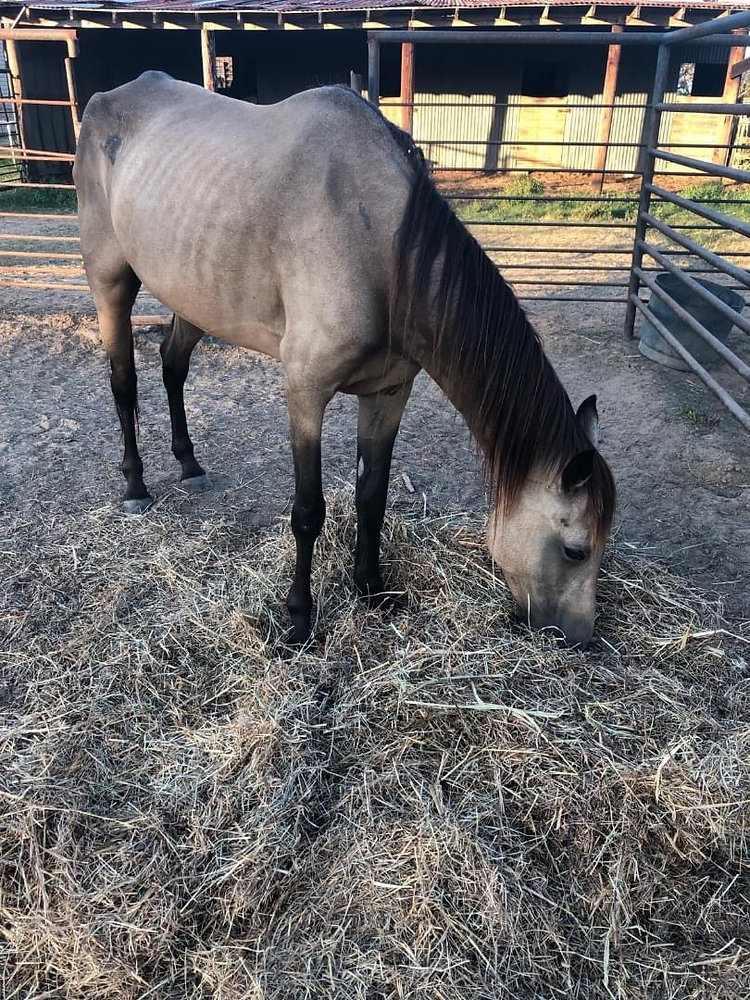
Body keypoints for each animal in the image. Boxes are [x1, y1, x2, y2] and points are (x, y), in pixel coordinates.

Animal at [74, 72, 616, 648]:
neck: (382, 247)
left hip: (194, 296)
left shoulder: (387, 394)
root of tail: (110, 97)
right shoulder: (305, 392)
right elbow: (308, 511)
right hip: (111, 281)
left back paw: (189, 464)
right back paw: (136, 486)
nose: (580, 638)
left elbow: (371, 497)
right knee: (124, 381)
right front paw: (298, 618)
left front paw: (370, 588)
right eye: (576, 550)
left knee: (172, 366)